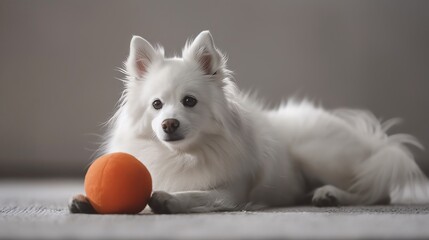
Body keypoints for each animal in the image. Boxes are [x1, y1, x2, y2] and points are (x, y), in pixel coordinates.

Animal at [69, 30, 424, 214]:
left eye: (189, 102)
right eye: (156, 105)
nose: (169, 123)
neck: (183, 156)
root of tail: (373, 143)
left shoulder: (229, 194)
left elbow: (197, 194)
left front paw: (168, 198)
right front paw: (85, 201)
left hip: (317, 153)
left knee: (375, 191)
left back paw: (329, 195)